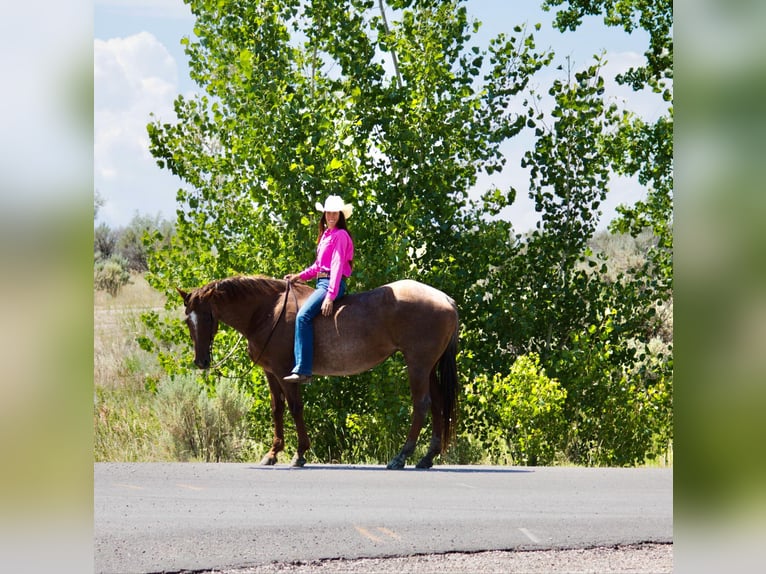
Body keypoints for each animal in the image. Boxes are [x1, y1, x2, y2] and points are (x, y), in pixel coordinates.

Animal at [177, 275, 459, 470]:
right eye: (188, 320)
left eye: (208, 317)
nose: (201, 361)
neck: (268, 311)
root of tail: (445, 299)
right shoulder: (271, 373)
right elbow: (277, 409)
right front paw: (272, 453)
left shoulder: (284, 372)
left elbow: (295, 408)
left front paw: (300, 453)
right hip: (428, 367)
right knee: (437, 404)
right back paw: (427, 457)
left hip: (418, 365)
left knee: (421, 405)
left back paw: (401, 456)